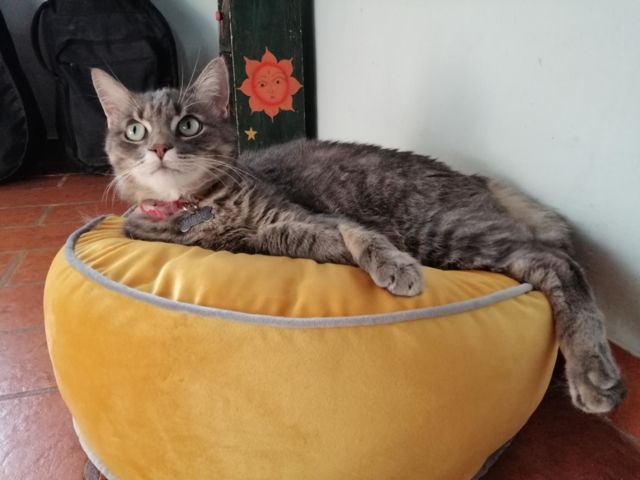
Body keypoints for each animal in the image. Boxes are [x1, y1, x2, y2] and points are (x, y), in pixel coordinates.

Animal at [91, 57, 625, 415]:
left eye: (188, 124)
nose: (160, 148)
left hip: (443, 229)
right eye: (136, 130)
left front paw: (393, 263)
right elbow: (326, 239)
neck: (200, 206)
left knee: (559, 262)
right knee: (543, 260)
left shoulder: (303, 214)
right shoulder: (280, 231)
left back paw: (591, 370)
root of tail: (476, 179)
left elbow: (359, 233)